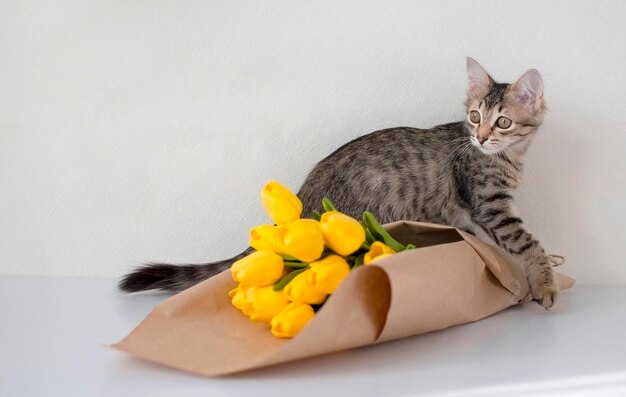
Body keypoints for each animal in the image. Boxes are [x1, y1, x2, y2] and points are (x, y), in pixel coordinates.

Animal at [120, 57, 560, 308]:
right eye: (474, 117)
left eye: (502, 122)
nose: (481, 137)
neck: (508, 158)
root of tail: (302, 201)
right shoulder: (489, 206)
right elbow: (526, 242)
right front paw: (544, 282)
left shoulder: (476, 214)